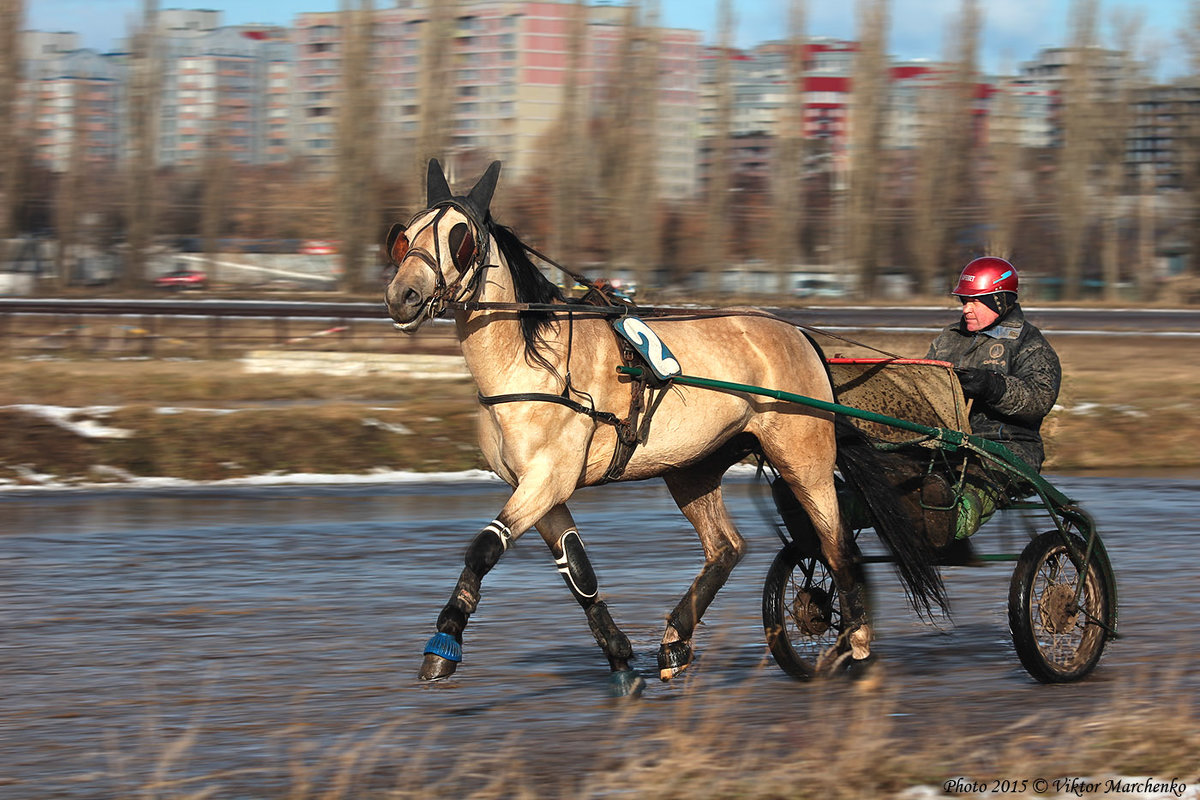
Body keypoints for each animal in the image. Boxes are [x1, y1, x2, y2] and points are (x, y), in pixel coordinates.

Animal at [386, 159, 945, 695]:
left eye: (459, 237)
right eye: (404, 234)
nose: (402, 295)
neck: (534, 363)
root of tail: (797, 332)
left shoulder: (548, 478)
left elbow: (484, 548)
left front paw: (443, 645)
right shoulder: (538, 487)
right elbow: (578, 572)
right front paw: (620, 659)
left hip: (803, 457)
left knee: (836, 546)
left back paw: (855, 640)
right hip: (692, 466)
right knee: (726, 548)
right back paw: (676, 640)